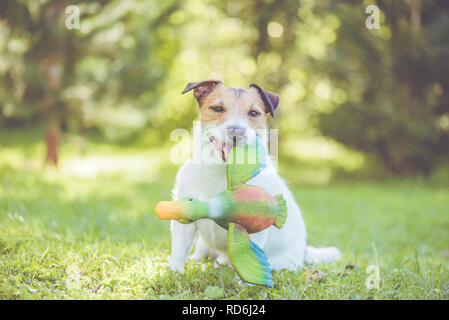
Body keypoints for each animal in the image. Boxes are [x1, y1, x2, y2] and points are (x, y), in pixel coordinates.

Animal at [168, 80, 340, 276]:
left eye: (253, 113)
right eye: (217, 108)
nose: (236, 131)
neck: (222, 172)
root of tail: (304, 251)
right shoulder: (184, 219)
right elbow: (179, 250)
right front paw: (174, 273)